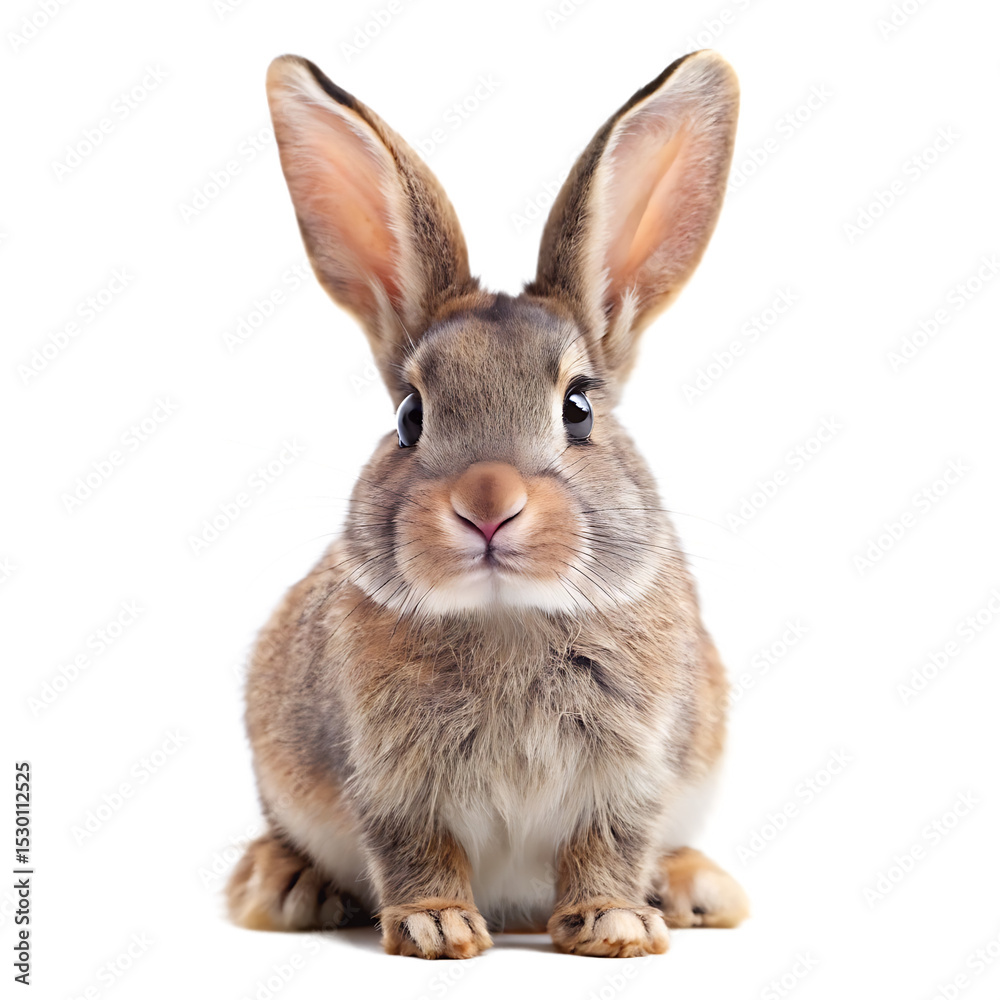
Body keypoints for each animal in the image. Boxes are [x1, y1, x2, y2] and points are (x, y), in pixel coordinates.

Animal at [227, 48, 749, 959]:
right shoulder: (391, 779)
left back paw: (695, 890)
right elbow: (416, 848)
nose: (488, 504)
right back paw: (282, 887)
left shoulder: (631, 770)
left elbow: (608, 843)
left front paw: (614, 924)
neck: (509, 615)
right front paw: (435, 928)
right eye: (410, 415)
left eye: (578, 408)